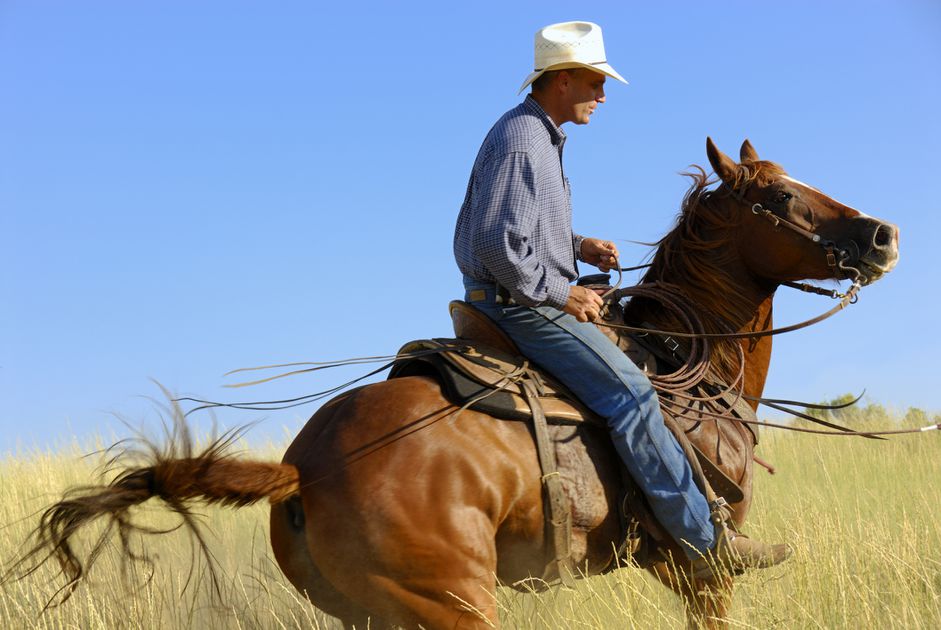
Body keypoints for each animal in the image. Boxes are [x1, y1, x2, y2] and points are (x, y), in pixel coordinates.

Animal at [12, 139, 896, 630]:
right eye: (780, 196)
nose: (881, 235)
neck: (690, 365)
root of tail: (304, 467)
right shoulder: (703, 570)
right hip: (454, 605)